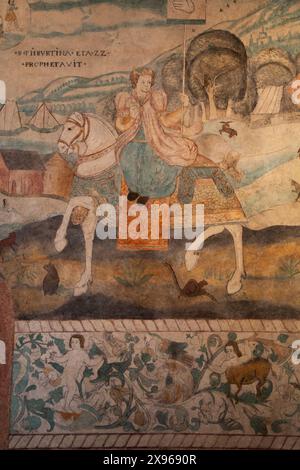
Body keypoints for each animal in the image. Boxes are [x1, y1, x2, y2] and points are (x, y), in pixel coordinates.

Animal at [55, 111, 298, 298]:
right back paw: (201, 260)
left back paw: (228, 277)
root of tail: (219, 162)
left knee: (234, 229)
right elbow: (85, 233)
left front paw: (59, 242)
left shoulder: (108, 205)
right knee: (227, 227)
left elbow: (71, 204)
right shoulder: (95, 206)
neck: (102, 164)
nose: (61, 148)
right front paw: (83, 281)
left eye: (69, 128)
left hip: (217, 204)